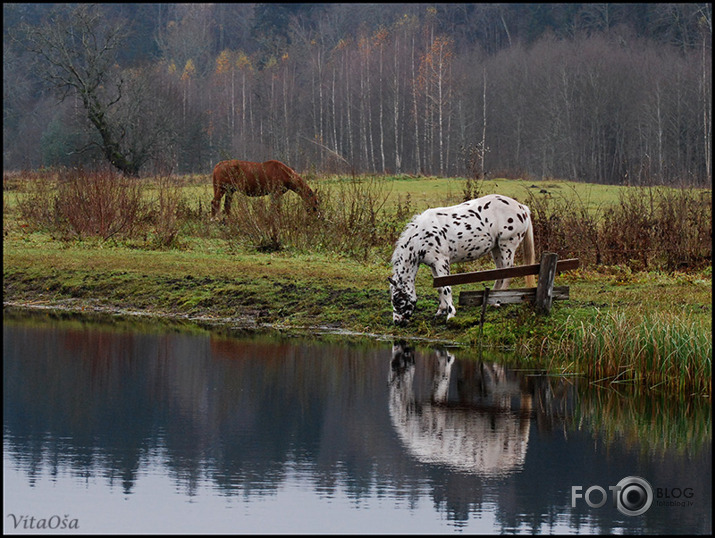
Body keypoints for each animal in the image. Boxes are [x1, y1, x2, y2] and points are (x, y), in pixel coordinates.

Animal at [388, 195, 536, 324]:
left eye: (398, 300)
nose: (397, 322)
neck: (420, 237)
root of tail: (522, 208)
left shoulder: (441, 262)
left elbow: (446, 288)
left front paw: (450, 314)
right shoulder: (433, 265)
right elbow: (440, 288)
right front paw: (440, 311)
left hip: (507, 246)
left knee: (508, 273)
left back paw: (499, 303)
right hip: (496, 248)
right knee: (500, 272)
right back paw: (494, 300)